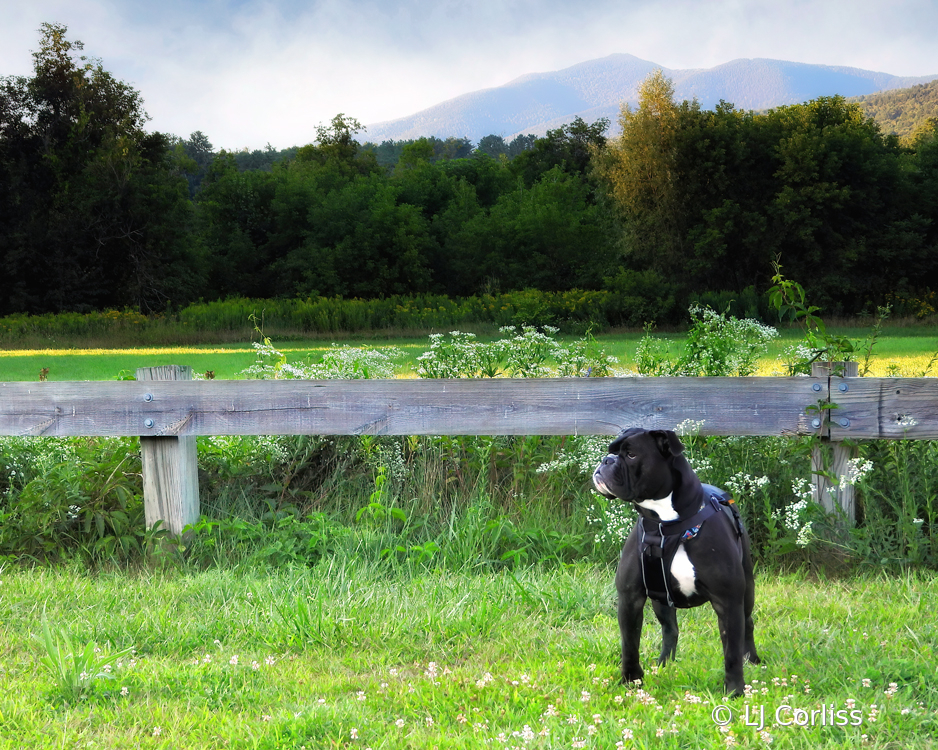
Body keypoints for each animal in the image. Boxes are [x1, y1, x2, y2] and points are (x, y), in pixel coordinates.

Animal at [592, 428, 760, 700]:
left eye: (631, 454)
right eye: (611, 450)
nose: (607, 460)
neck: (666, 524)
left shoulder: (728, 602)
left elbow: (731, 652)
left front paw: (734, 691)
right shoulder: (630, 598)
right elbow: (630, 644)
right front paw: (630, 681)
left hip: (747, 590)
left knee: (748, 623)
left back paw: (752, 659)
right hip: (661, 599)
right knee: (670, 629)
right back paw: (664, 663)